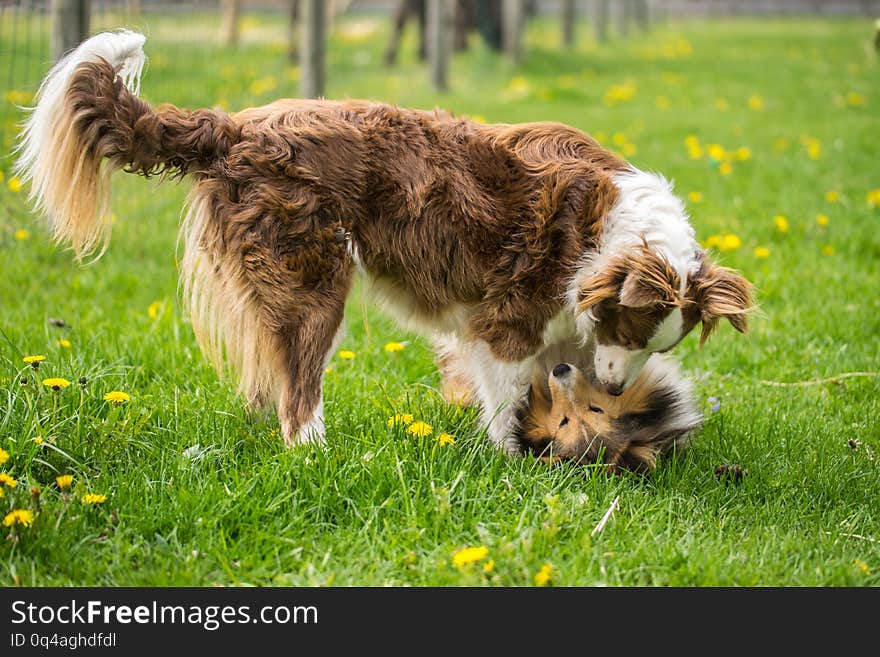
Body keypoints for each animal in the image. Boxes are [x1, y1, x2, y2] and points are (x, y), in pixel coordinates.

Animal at [17, 30, 752, 452]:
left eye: (658, 344)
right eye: (629, 328)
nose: (608, 382)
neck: (609, 233)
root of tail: (235, 127)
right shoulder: (507, 323)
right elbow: (512, 398)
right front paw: (516, 458)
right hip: (311, 282)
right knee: (298, 393)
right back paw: (315, 454)